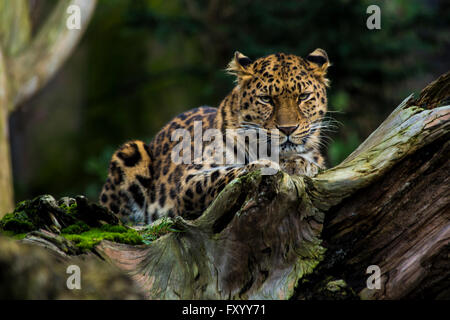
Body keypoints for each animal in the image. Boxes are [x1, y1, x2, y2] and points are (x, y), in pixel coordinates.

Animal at [99, 49, 330, 225]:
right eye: (266, 99)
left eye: (303, 97)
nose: (288, 129)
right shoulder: (190, 182)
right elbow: (229, 172)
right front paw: (264, 165)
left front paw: (300, 163)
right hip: (131, 151)